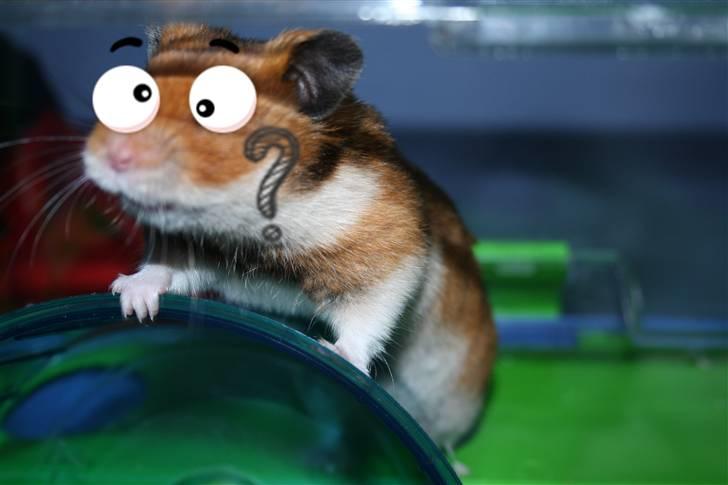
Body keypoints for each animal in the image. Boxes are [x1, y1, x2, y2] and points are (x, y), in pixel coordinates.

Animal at [83, 23, 497, 453]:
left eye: (210, 108)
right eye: (135, 92)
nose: (106, 158)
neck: (247, 225)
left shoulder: (391, 257)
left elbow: (367, 318)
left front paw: (332, 354)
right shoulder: (198, 253)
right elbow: (164, 271)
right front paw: (131, 301)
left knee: (442, 440)